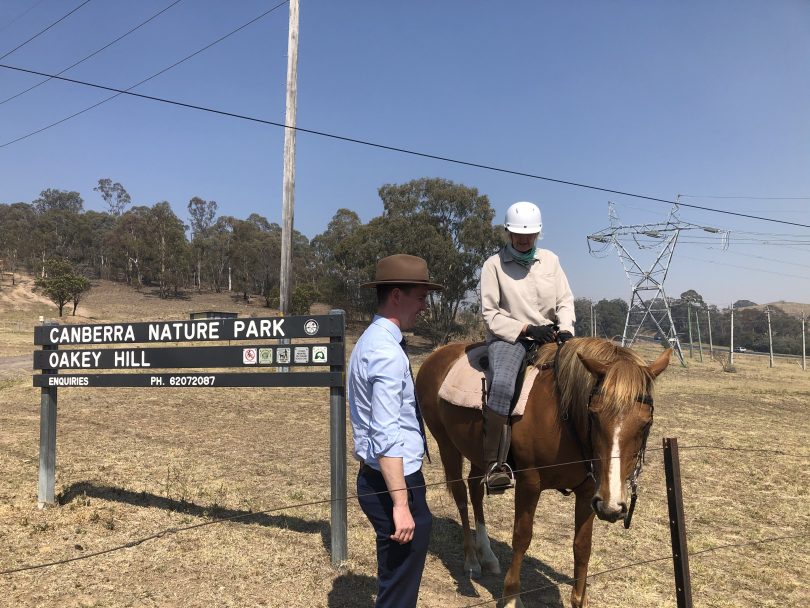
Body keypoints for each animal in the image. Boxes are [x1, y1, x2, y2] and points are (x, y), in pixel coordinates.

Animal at [416, 338, 668, 608]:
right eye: (594, 414)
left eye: (646, 423)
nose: (612, 508)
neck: (565, 419)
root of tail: (438, 355)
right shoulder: (530, 483)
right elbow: (522, 536)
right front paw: (511, 596)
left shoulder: (589, 491)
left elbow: (582, 547)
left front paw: (579, 598)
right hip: (447, 445)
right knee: (461, 496)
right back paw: (472, 560)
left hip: (478, 453)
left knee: (475, 491)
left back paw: (487, 555)